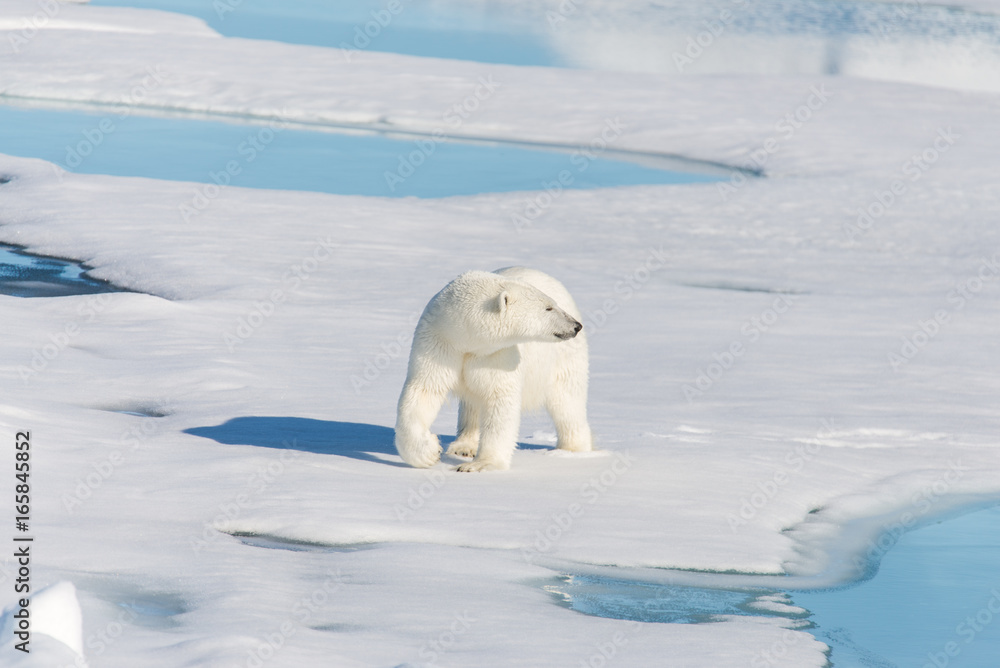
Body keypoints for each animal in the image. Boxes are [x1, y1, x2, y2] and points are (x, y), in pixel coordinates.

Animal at [394, 267, 592, 472]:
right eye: (548, 307)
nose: (576, 326)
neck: (466, 341)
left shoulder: (499, 355)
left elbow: (499, 400)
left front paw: (480, 465)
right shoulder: (438, 344)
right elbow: (424, 390)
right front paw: (429, 452)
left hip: (564, 358)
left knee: (567, 400)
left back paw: (572, 450)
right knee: (471, 405)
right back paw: (464, 447)